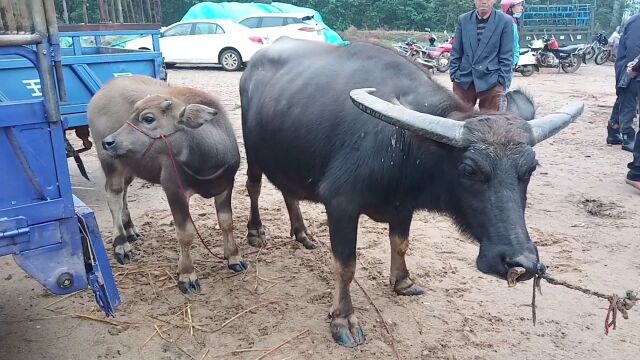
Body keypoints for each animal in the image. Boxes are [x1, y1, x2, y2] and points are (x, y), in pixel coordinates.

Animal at [238, 38, 584, 348]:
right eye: (470, 170)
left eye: (530, 169)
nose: (520, 262)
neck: (403, 147)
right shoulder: (341, 204)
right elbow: (346, 266)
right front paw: (343, 320)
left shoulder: (403, 206)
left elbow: (401, 243)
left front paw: (403, 282)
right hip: (253, 152)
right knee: (254, 186)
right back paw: (256, 232)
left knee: (288, 190)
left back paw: (303, 233)